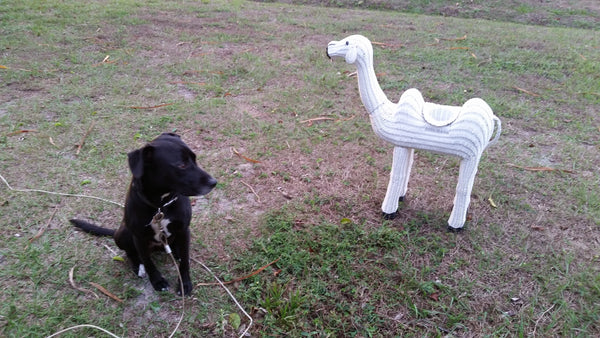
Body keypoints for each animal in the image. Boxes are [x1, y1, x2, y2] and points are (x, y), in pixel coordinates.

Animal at [71, 133, 216, 296]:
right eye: (182, 165)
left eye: (195, 159)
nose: (213, 182)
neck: (160, 205)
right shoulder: (139, 237)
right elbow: (148, 262)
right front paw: (157, 281)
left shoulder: (184, 230)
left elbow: (185, 261)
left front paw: (184, 283)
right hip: (123, 233)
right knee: (131, 253)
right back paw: (137, 267)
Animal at [326, 34, 500, 230]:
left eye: (347, 42)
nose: (328, 47)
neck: (388, 111)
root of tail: (492, 118)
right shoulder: (407, 144)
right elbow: (407, 169)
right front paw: (400, 197)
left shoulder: (400, 145)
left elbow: (397, 175)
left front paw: (388, 212)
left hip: (471, 154)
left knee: (463, 186)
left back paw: (454, 226)